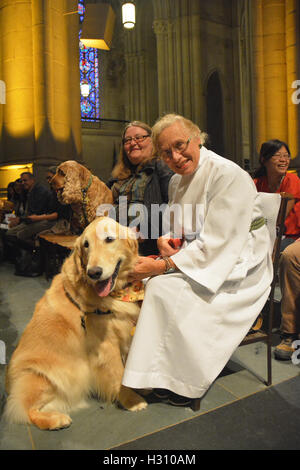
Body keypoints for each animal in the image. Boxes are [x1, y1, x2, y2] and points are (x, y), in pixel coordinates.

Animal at [4, 217, 148, 430]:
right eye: (86, 245)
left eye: (109, 239)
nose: (94, 272)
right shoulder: (106, 345)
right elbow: (119, 373)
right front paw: (131, 400)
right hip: (40, 377)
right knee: (26, 410)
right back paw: (56, 420)